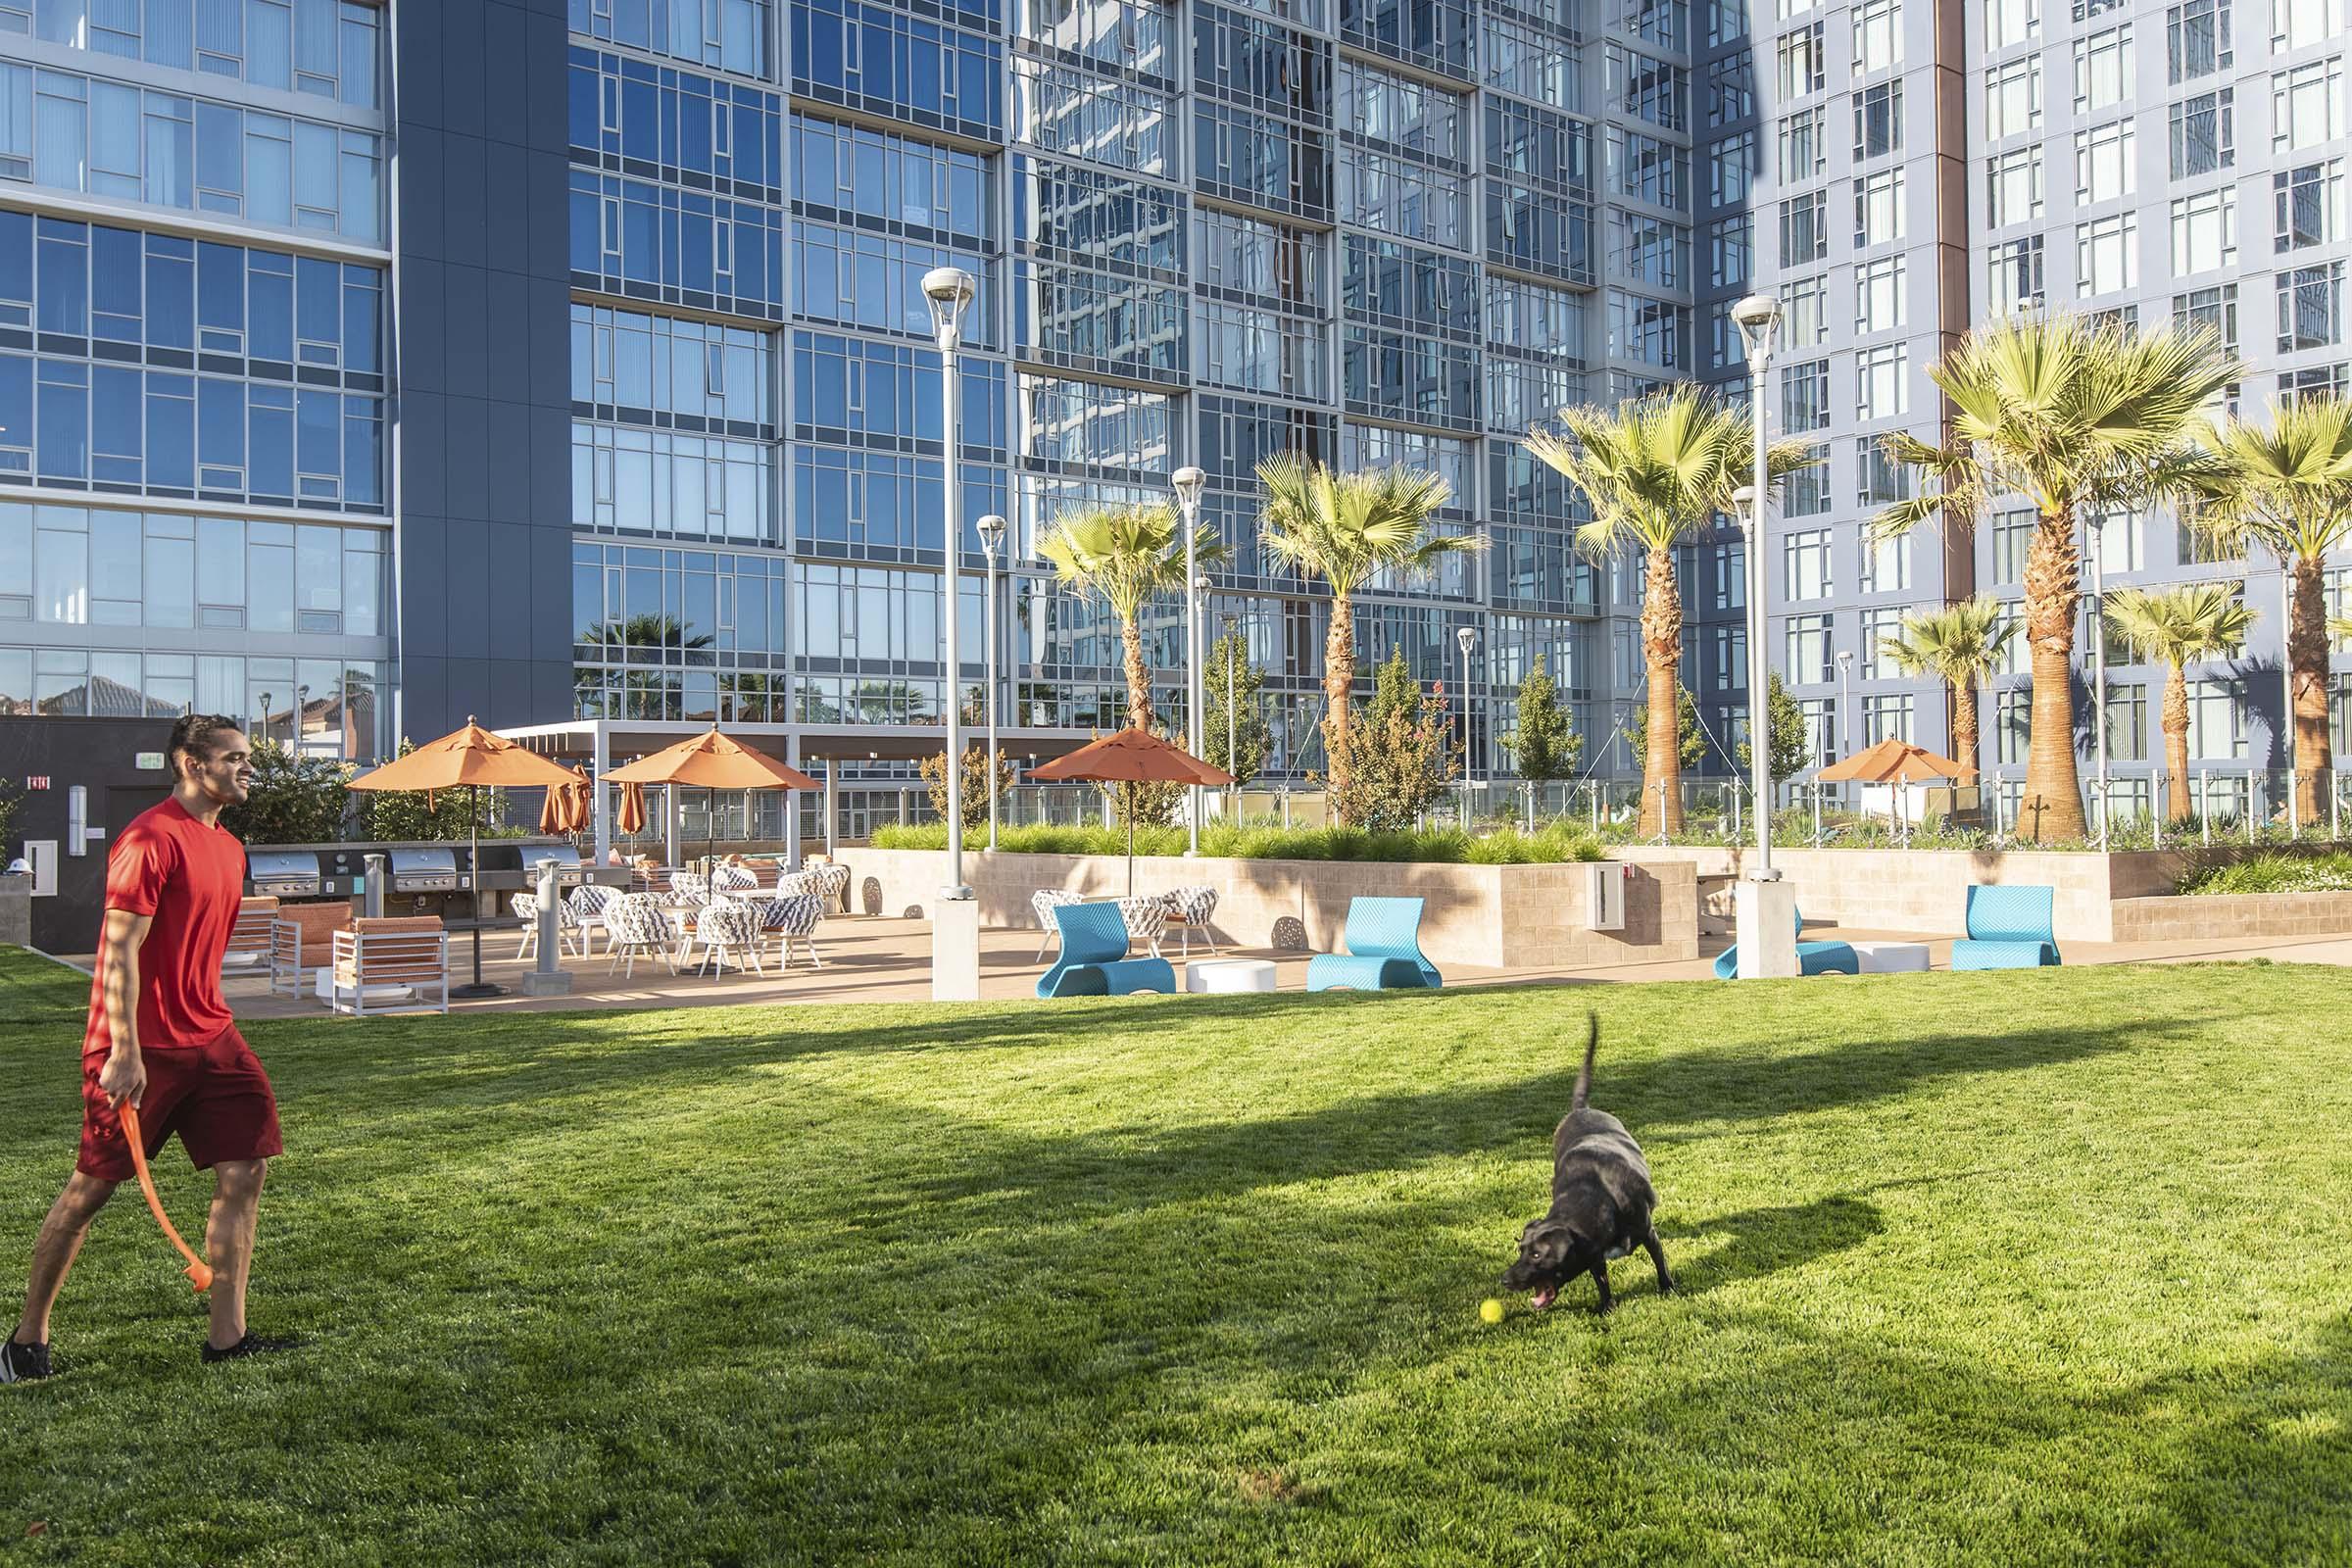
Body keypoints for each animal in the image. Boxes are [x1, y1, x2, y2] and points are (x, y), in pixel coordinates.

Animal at [1505, 1020, 1674, 1316]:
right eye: (1521, 1249)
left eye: (1537, 1255)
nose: (1505, 1279)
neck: (1601, 1197)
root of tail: (1581, 1109)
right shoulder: (1593, 1253)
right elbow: (1601, 1280)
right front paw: (1607, 1307)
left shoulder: (1649, 1233)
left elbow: (1660, 1262)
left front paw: (1668, 1289)